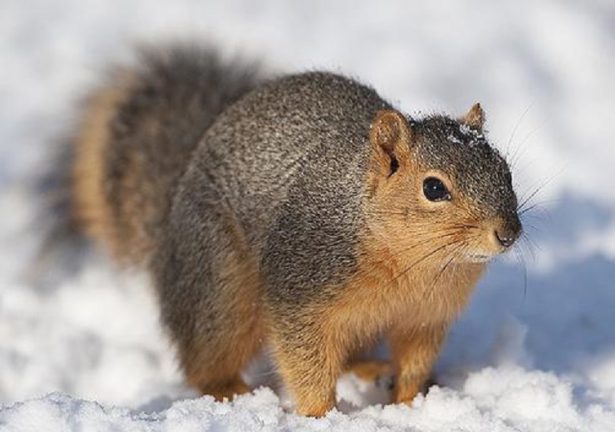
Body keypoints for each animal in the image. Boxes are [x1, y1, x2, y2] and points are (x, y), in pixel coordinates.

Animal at [65, 43, 524, 416]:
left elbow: (414, 361)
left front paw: (411, 404)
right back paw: (234, 393)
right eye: (433, 188)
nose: (508, 233)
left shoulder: (425, 317)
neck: (415, 263)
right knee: (204, 361)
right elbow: (305, 361)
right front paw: (321, 414)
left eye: (506, 171)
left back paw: (372, 369)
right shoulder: (299, 292)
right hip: (220, 288)